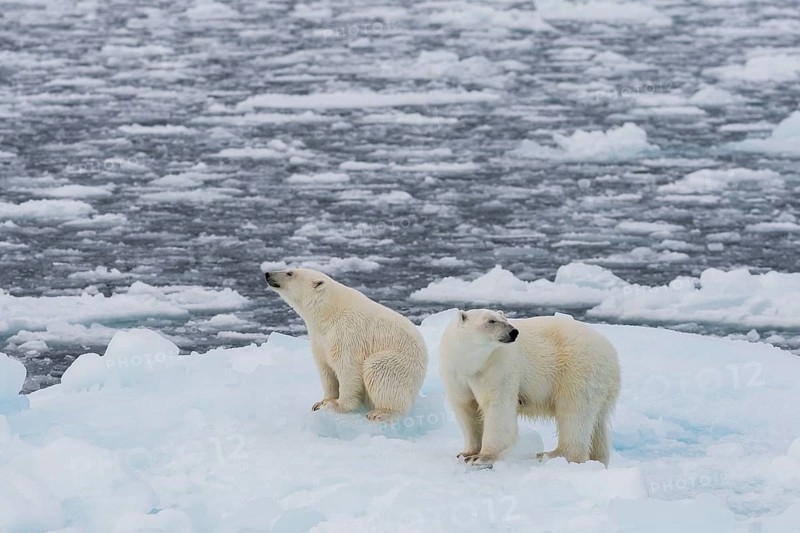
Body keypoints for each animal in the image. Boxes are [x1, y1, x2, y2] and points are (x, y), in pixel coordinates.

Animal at [265, 268, 428, 422]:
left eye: (289, 273)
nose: (267, 274)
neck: (328, 312)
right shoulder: (320, 339)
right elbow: (325, 368)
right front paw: (320, 403)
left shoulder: (347, 334)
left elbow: (347, 367)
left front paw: (336, 405)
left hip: (401, 363)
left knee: (378, 369)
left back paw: (381, 413)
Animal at [439, 309, 620, 467]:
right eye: (491, 321)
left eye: (505, 318)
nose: (513, 332)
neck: (470, 363)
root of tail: (612, 356)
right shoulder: (455, 372)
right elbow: (466, 408)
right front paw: (466, 453)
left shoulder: (497, 366)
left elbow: (497, 407)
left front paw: (481, 457)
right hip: (600, 385)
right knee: (596, 424)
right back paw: (597, 459)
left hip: (578, 371)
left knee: (573, 413)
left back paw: (551, 454)